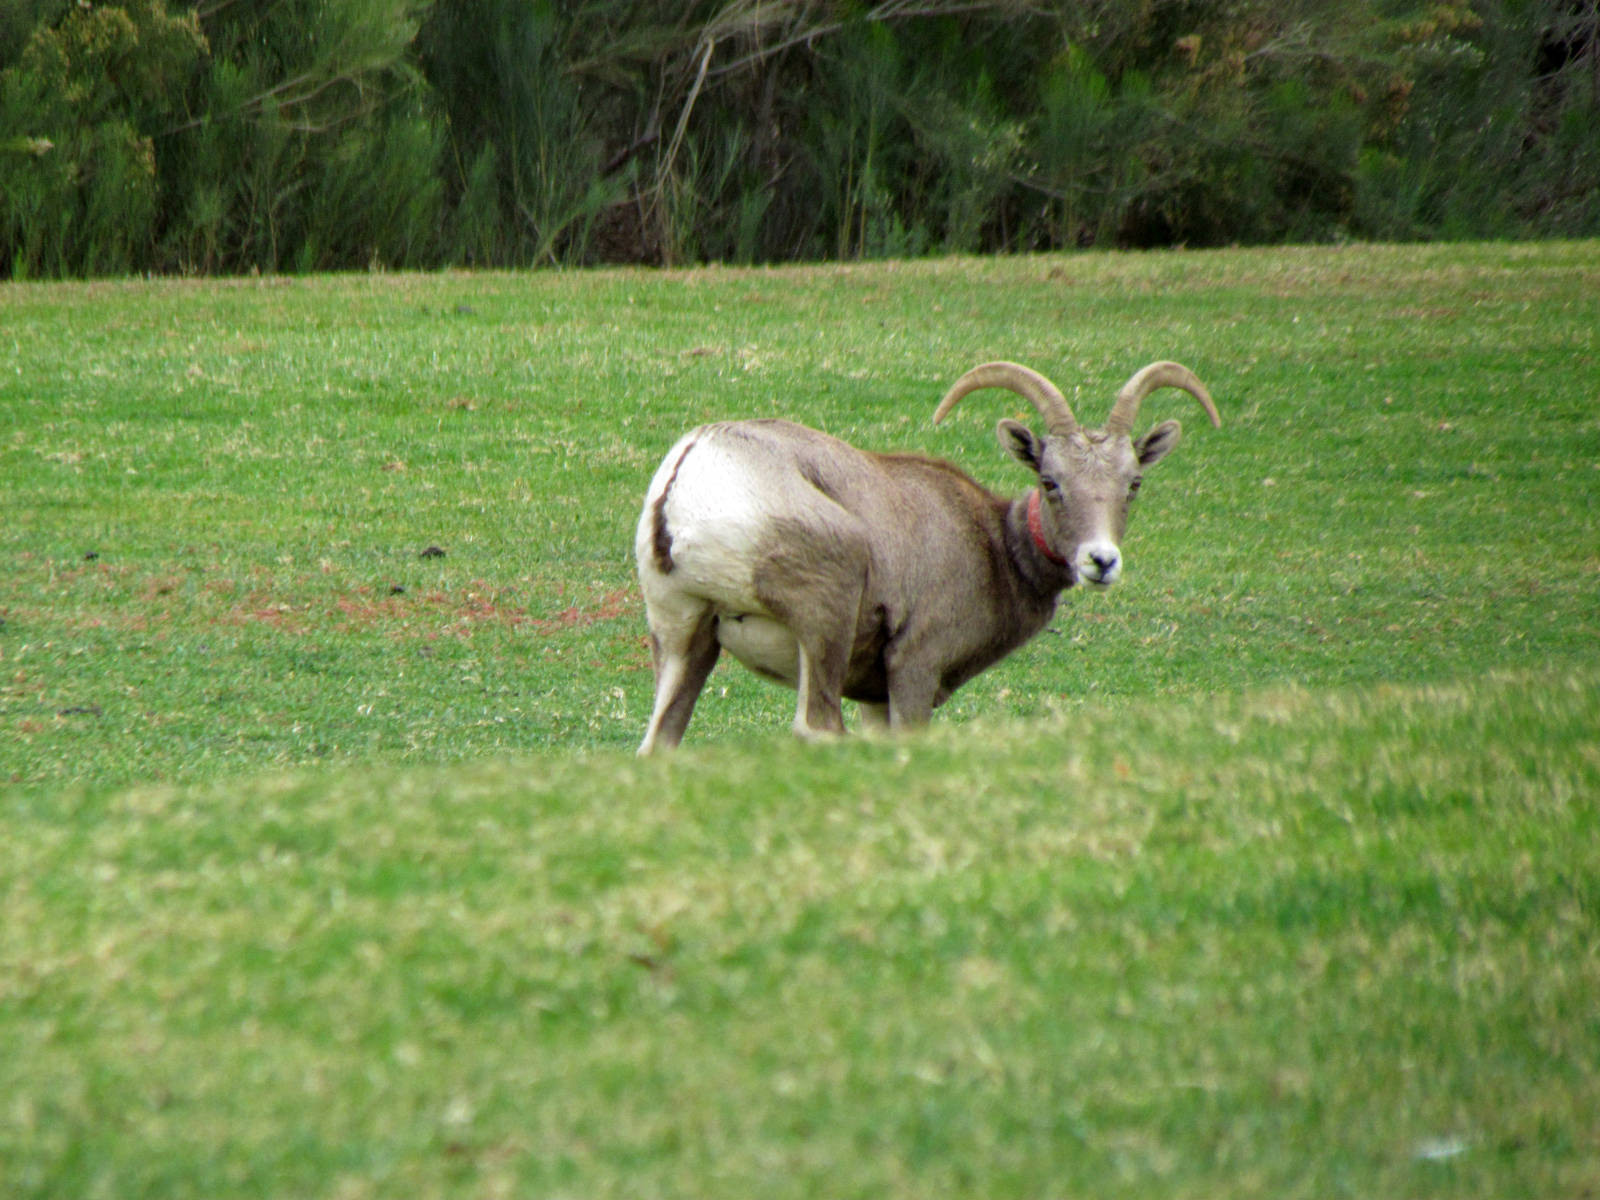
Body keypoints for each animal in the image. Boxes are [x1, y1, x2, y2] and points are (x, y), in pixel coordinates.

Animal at [633, 360, 1220, 752]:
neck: (996, 550)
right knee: (819, 727)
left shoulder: (875, 697)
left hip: (685, 637)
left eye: (1133, 484)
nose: (1101, 561)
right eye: (1050, 482)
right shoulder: (914, 668)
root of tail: (694, 468)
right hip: (825, 624)